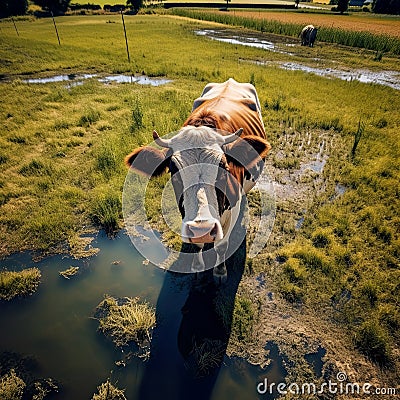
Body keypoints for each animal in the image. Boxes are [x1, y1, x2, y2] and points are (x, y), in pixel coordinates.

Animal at [124, 78, 272, 282]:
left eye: (224, 167)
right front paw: (197, 266)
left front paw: (220, 272)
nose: (203, 229)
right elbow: (197, 245)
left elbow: (221, 245)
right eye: (173, 170)